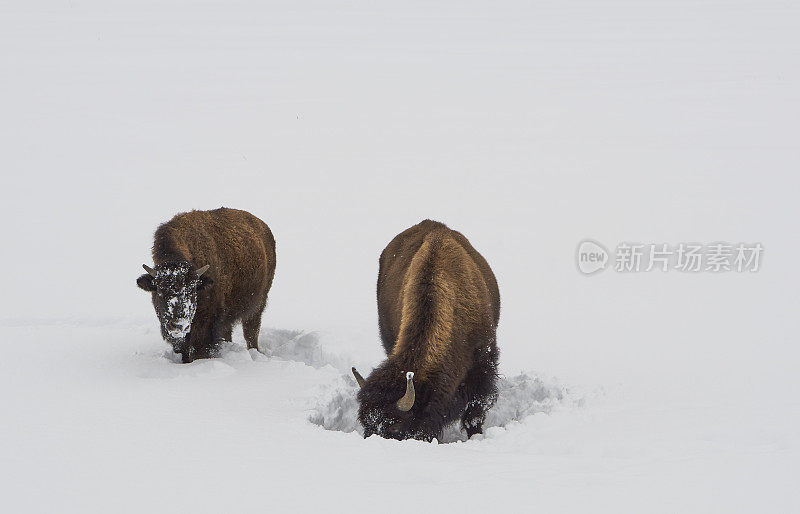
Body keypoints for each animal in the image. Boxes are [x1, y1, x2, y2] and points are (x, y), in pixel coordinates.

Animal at [136, 207, 276, 360]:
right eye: (160, 291)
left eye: (192, 291)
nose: (179, 325)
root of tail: (263, 226)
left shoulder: (205, 323)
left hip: (259, 303)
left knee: (251, 331)